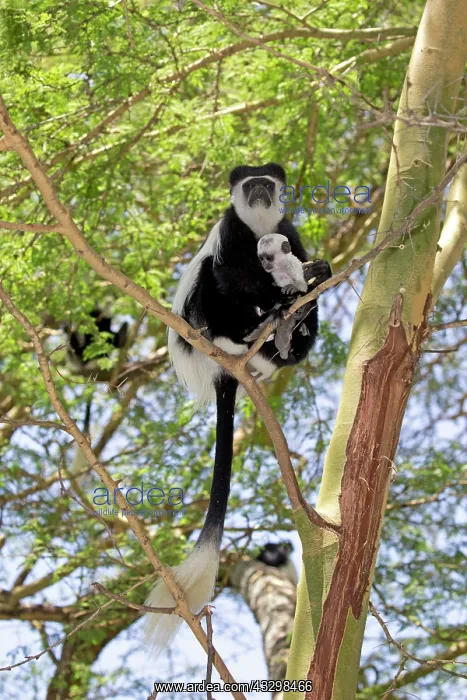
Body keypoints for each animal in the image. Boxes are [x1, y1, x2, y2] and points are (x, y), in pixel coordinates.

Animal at [143, 163, 331, 649]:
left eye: (267, 184)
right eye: (251, 186)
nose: (261, 191)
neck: (261, 228)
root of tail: (221, 369)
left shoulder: (288, 230)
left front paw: (313, 276)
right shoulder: (231, 229)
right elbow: (230, 274)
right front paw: (279, 293)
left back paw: (292, 329)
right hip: (200, 321)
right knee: (212, 278)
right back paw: (254, 325)